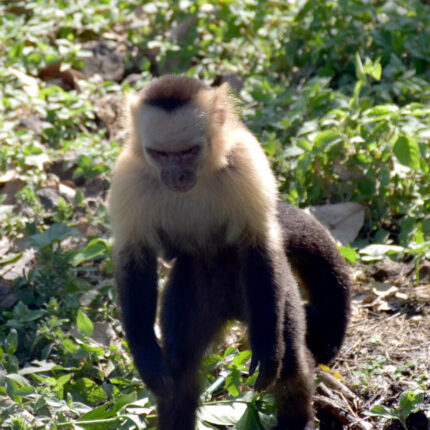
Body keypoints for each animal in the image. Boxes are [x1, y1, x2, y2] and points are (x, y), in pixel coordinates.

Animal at [109, 76, 352, 430]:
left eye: (188, 152)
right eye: (159, 154)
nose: (175, 176)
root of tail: (230, 309)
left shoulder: (245, 160)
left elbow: (259, 243)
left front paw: (267, 350)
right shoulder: (128, 178)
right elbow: (134, 261)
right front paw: (146, 357)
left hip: (266, 293)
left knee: (291, 359)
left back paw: (297, 418)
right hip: (192, 290)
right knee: (181, 371)